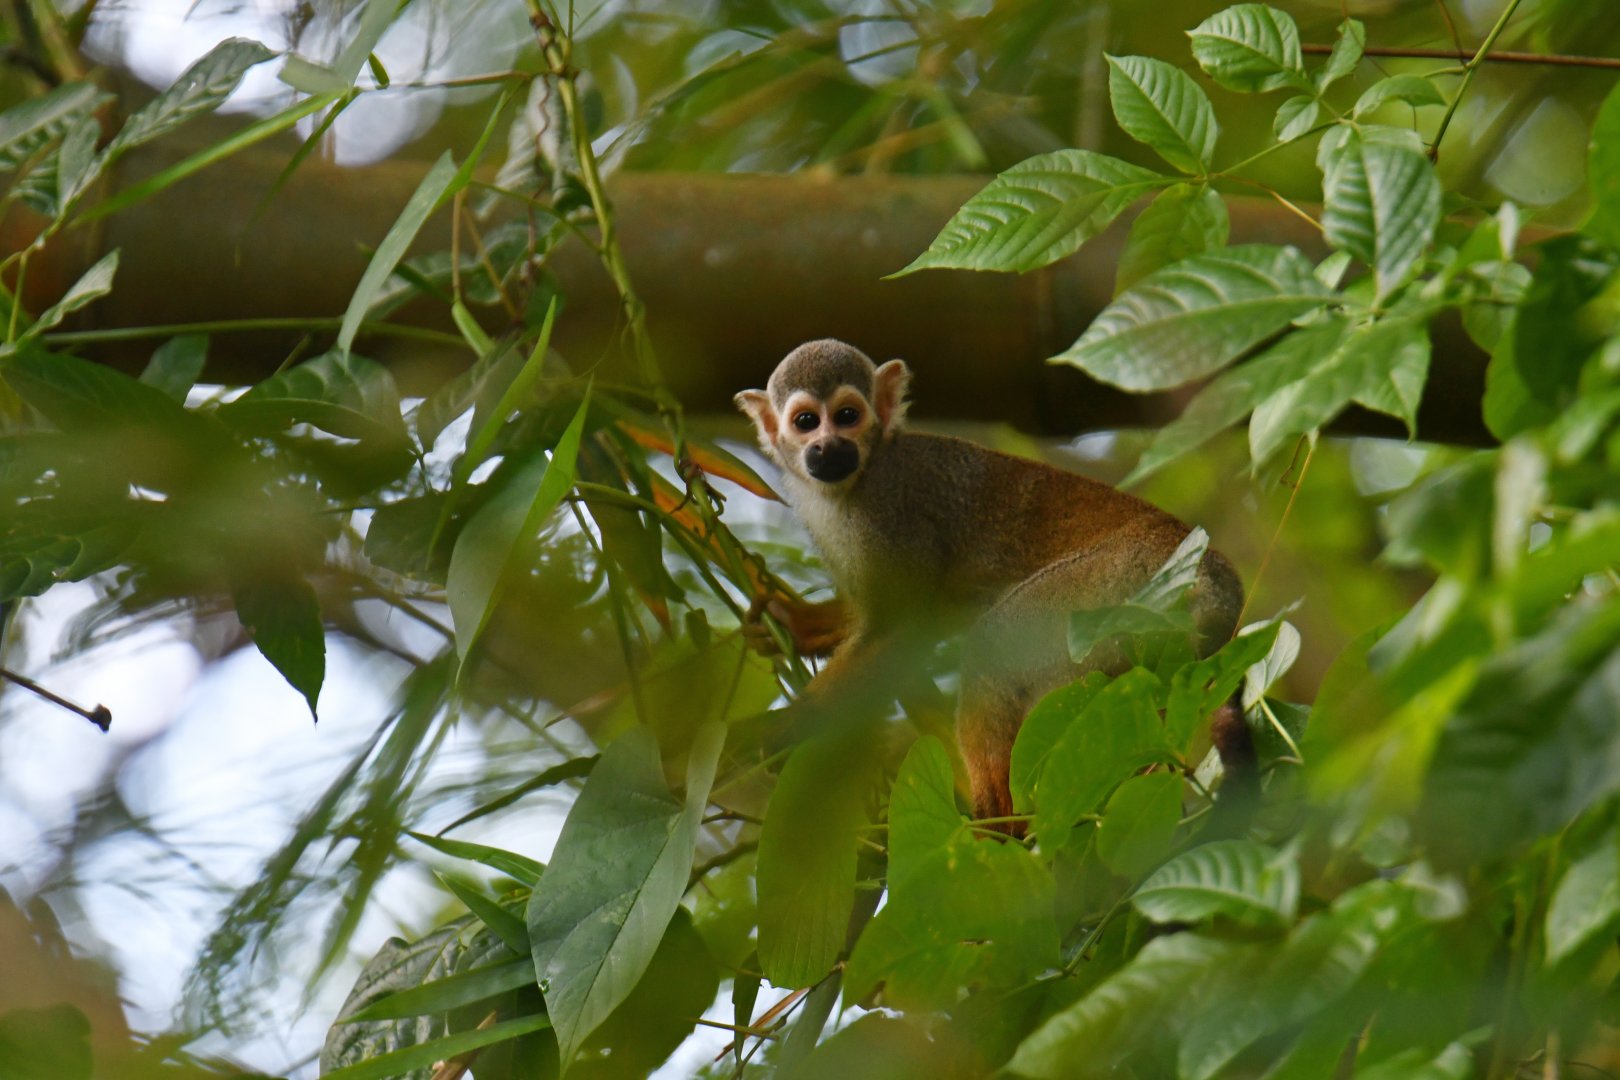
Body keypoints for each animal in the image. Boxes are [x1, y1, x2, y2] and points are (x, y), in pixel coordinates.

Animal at [735, 339, 1250, 835]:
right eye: (806, 422)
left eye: (846, 416)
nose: (827, 447)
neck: (855, 481)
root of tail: (1217, 572)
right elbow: (919, 614)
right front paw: (798, 624)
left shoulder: (892, 511)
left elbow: (900, 634)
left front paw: (784, 728)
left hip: (1122, 580)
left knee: (994, 645)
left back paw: (997, 820)